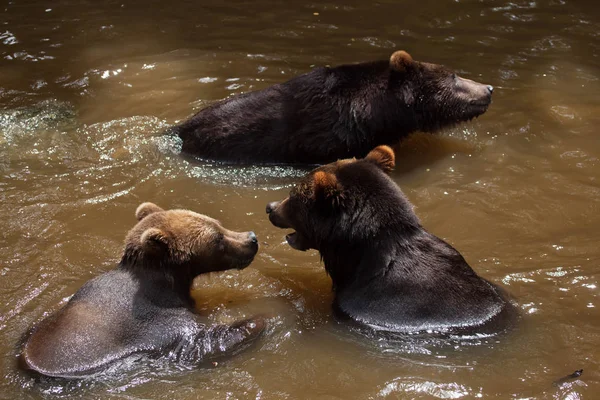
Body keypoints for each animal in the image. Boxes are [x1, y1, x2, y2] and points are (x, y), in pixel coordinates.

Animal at [21, 203, 264, 378]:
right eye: (217, 239)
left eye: (218, 224)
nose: (252, 238)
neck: (170, 282)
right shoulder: (158, 322)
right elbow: (199, 341)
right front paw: (256, 320)